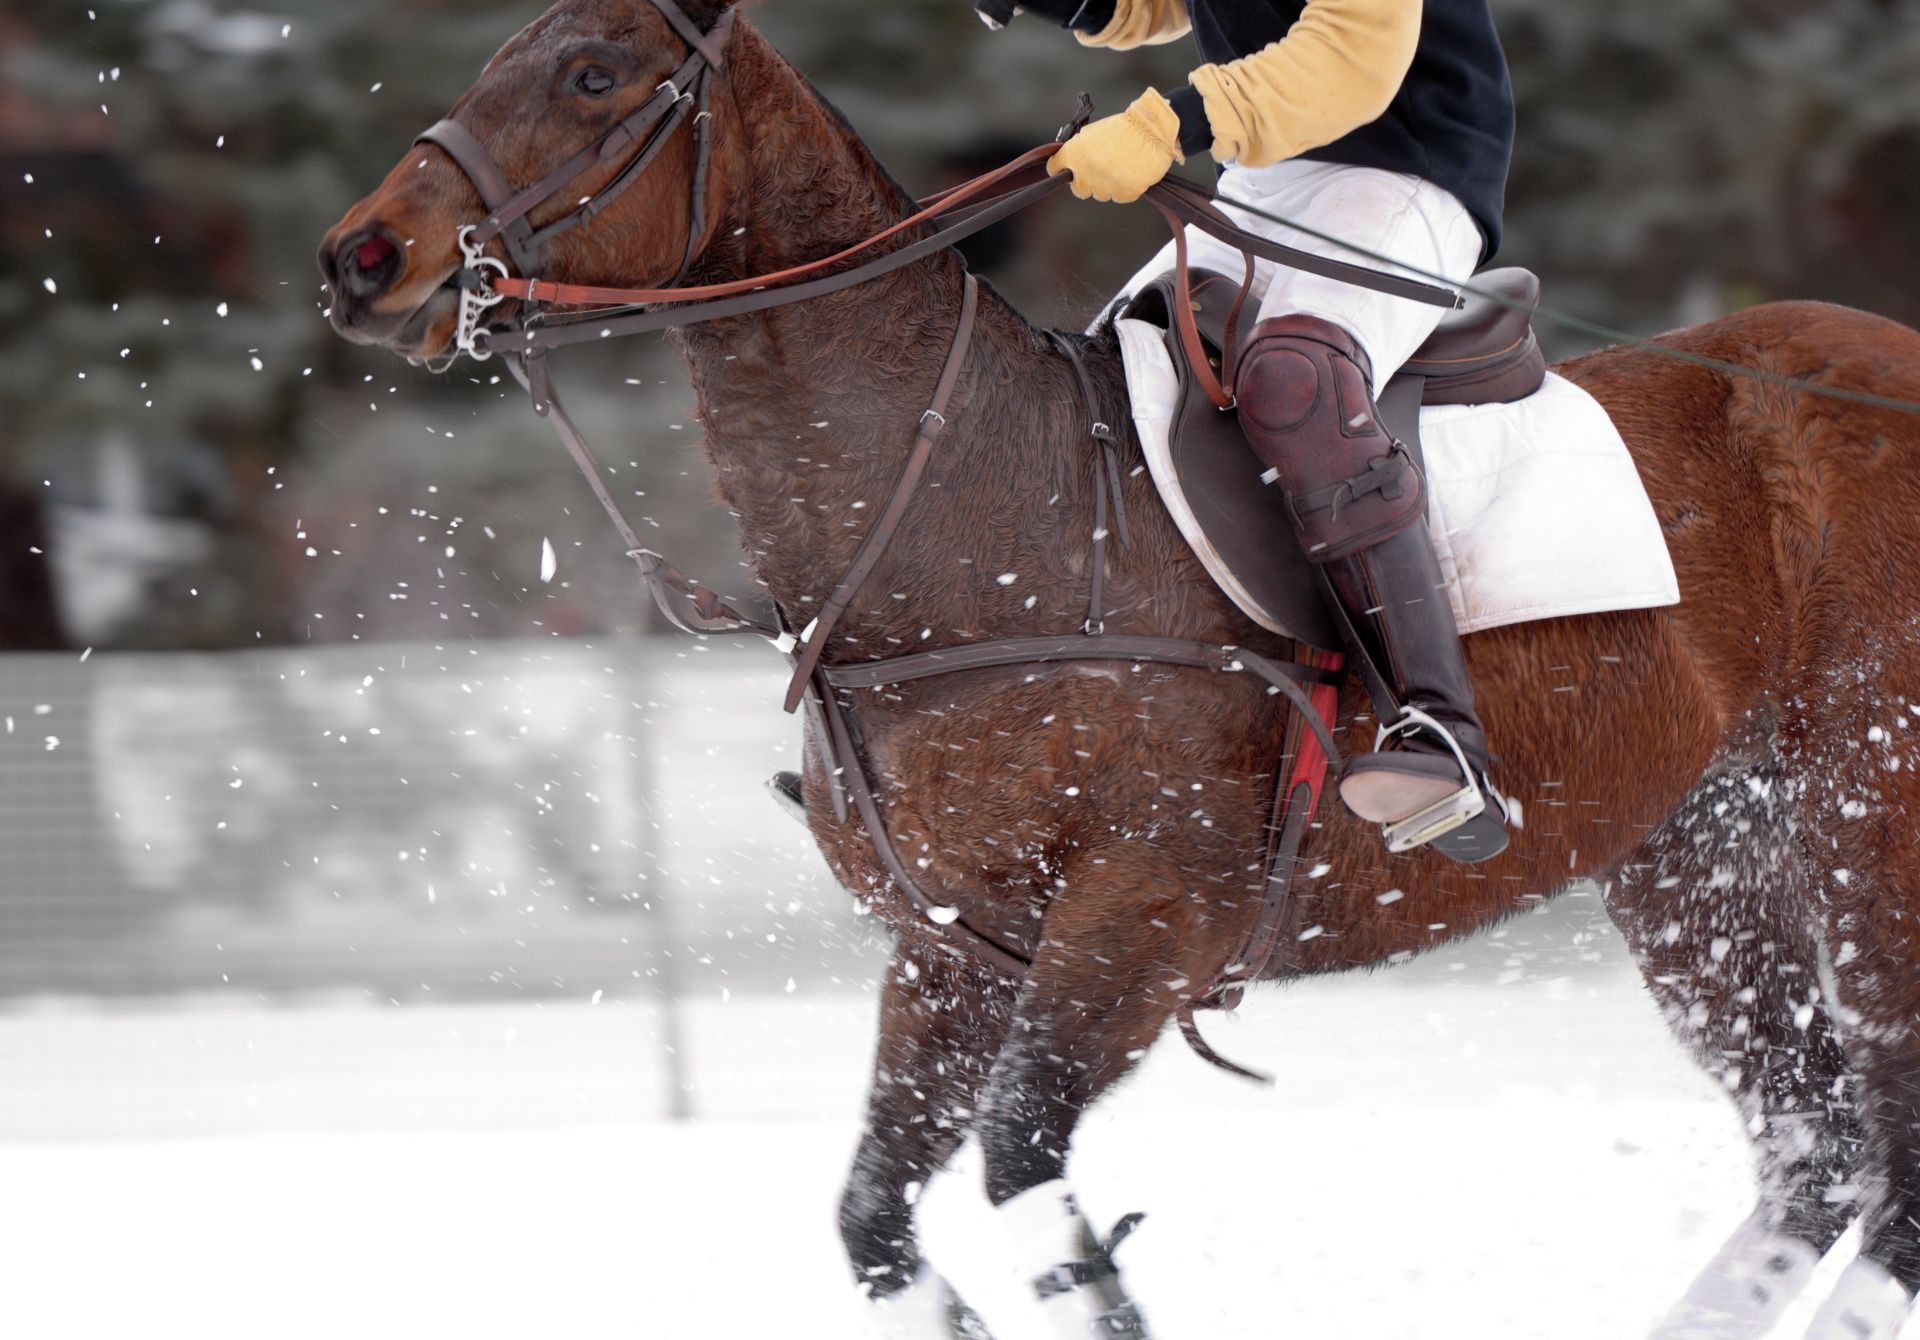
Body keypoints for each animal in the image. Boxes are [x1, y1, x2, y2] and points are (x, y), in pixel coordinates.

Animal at [322, 5, 1920, 1328]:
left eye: (594, 73)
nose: (360, 259)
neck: (966, 508)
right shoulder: (957, 942)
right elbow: (875, 1222)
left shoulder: (1143, 915)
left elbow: (1025, 1173)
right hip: (1694, 853)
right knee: (1817, 1146)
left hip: (1868, 822)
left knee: (1888, 1172)